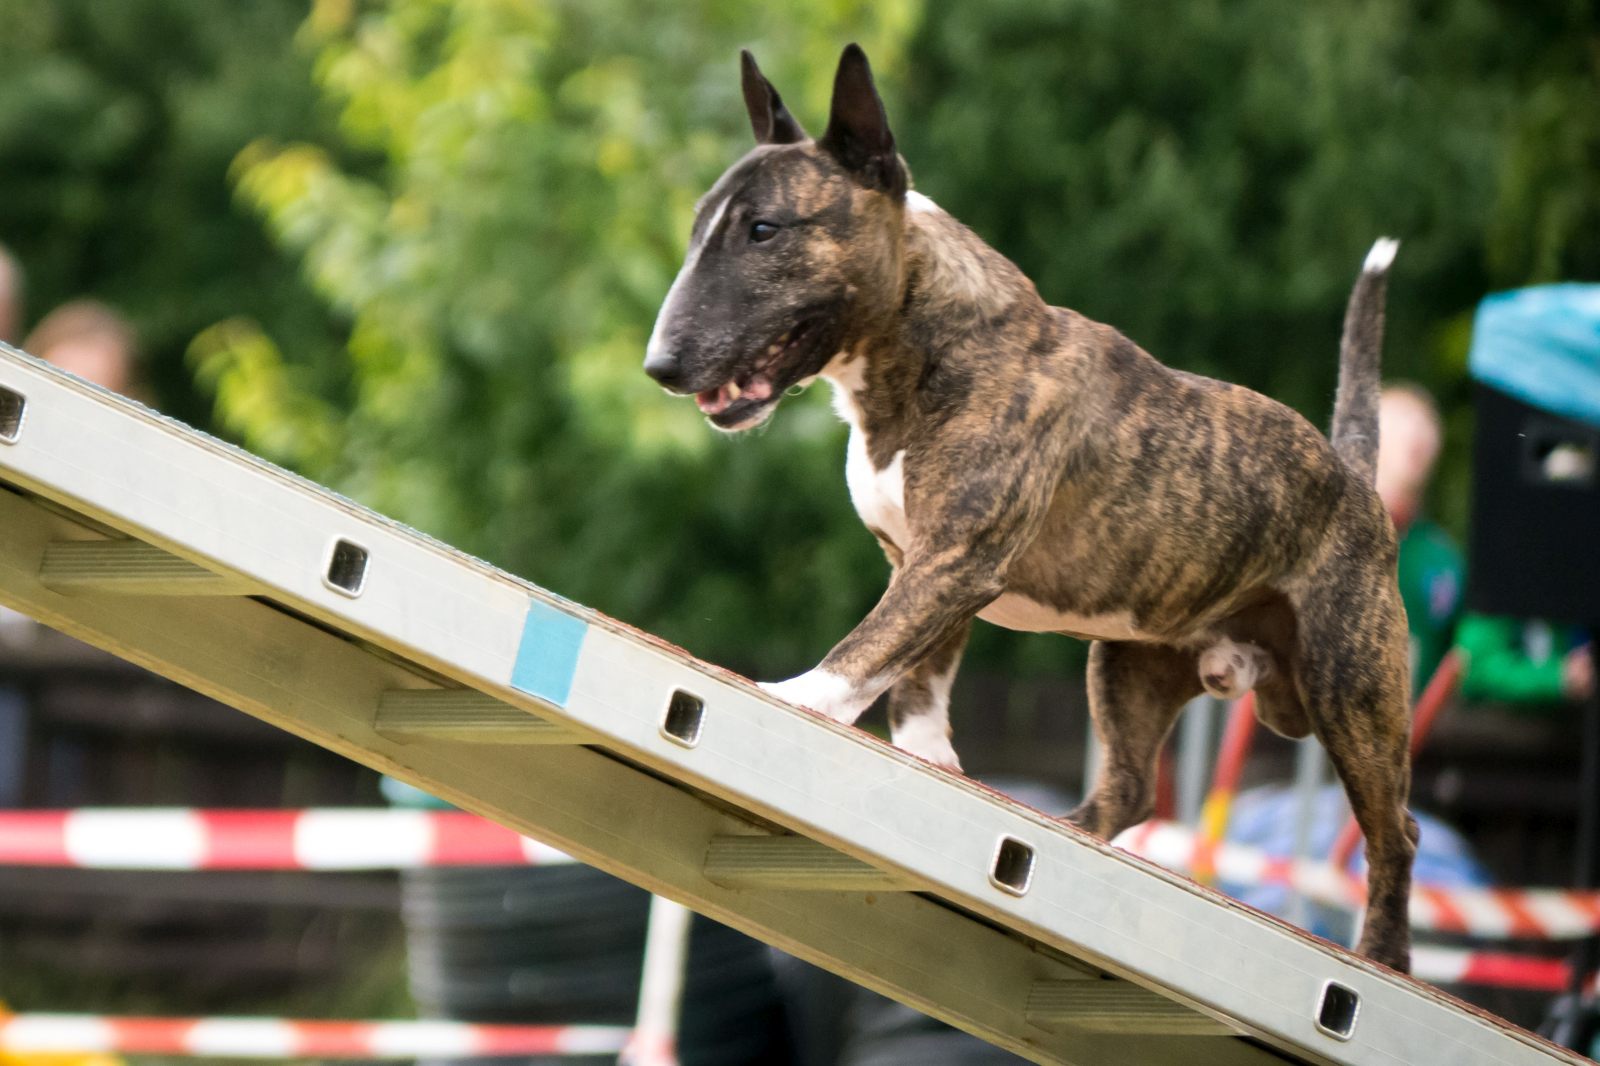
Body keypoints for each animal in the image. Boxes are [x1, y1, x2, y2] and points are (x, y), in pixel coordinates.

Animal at [636, 43, 1414, 973]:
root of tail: (1355, 477)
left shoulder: (955, 558)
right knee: (1130, 790)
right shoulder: (925, 564)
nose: (661, 366)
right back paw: (1062, 835)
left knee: (1398, 833)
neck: (927, 340)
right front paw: (934, 764)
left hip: (1352, 689)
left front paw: (794, 696)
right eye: (698, 230)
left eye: (764, 231)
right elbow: (915, 678)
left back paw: (1385, 958)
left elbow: (867, 650)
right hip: (1129, 666)